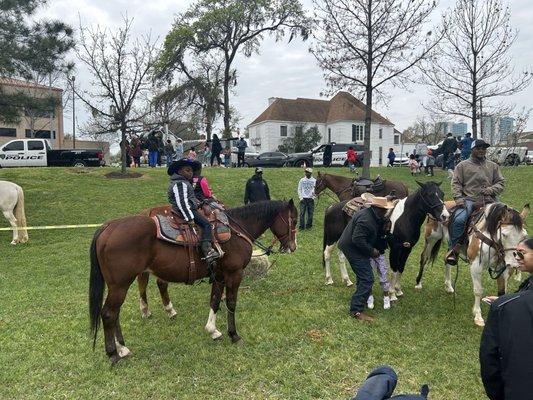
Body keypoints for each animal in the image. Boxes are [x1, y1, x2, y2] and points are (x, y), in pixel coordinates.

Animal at [90, 200, 300, 362]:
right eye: (294, 220)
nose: (293, 246)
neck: (237, 229)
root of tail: (108, 227)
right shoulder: (234, 274)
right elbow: (231, 303)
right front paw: (234, 335)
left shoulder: (220, 275)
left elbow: (214, 301)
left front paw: (213, 330)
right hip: (120, 285)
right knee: (108, 314)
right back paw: (113, 354)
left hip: (119, 285)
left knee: (115, 313)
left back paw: (123, 348)